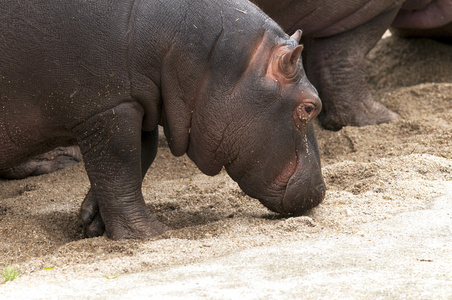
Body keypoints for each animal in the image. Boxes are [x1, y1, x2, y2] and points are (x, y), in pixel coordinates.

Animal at [0, 0, 324, 239]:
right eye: (310, 107)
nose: (322, 189)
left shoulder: (140, 104)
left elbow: (140, 158)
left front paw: (93, 220)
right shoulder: (110, 106)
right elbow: (121, 167)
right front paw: (152, 234)